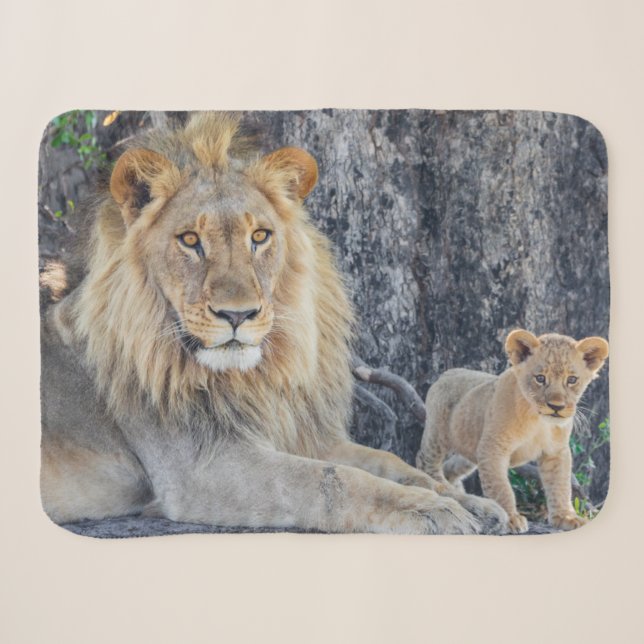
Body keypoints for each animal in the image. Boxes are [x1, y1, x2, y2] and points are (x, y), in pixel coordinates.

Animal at [40, 112, 508, 535]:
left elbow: (389, 461)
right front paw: (430, 509)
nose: (237, 315)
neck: (252, 379)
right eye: (190, 240)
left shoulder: (303, 436)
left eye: (260, 237)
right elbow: (332, 480)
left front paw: (472, 503)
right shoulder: (204, 468)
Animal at [416, 329, 609, 533]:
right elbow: (500, 487)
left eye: (572, 380)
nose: (556, 407)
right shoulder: (493, 449)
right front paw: (510, 518)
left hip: (471, 447)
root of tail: (448, 372)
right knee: (425, 460)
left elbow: (560, 486)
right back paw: (442, 485)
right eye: (540, 378)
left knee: (452, 466)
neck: (538, 420)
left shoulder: (556, 452)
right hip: (438, 434)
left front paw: (565, 517)